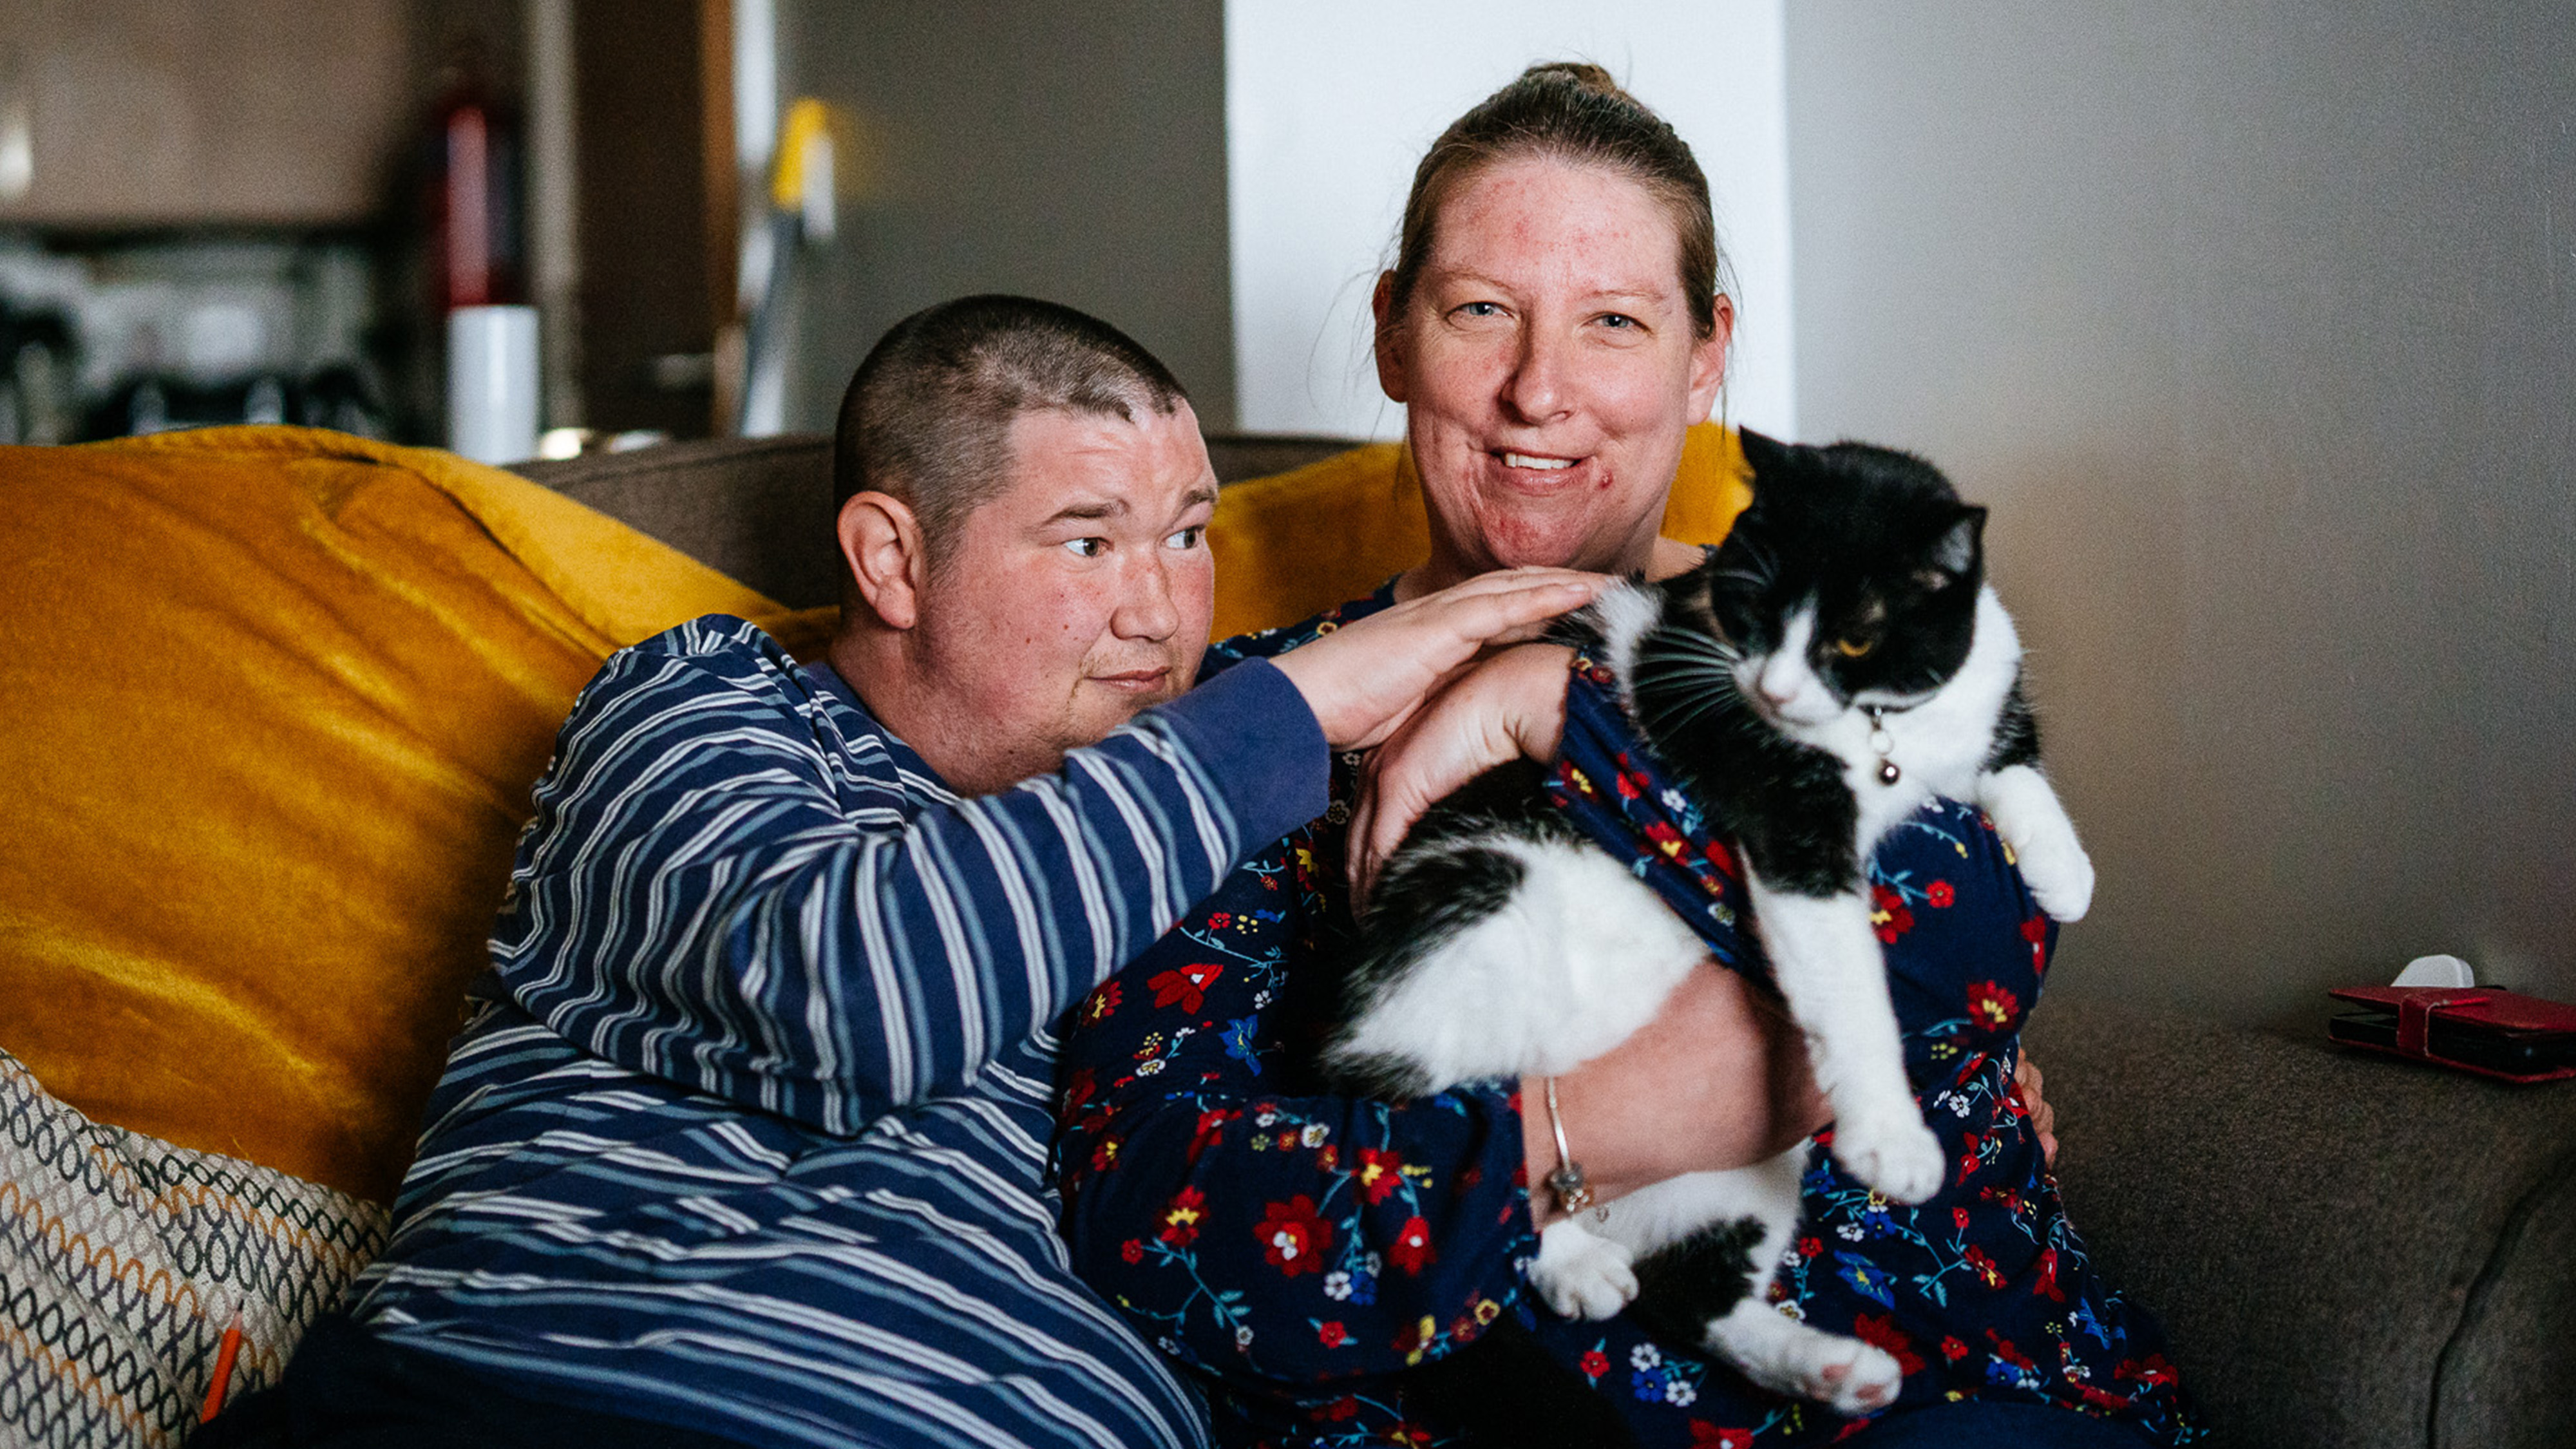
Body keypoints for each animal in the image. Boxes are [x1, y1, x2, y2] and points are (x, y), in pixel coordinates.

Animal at [1329, 430, 2092, 1412]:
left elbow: (2011, 760)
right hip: (1475, 917)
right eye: (1753, 608)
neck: (1880, 736)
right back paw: (1574, 1262)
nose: (1774, 688)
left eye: (1853, 634)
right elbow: (1848, 982)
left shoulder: (1976, 693)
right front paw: (1892, 1140)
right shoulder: (1777, 804)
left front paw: (2063, 871)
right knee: (1487, 1132)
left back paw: (1837, 1368)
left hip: (1742, 1165)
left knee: (1693, 1294)